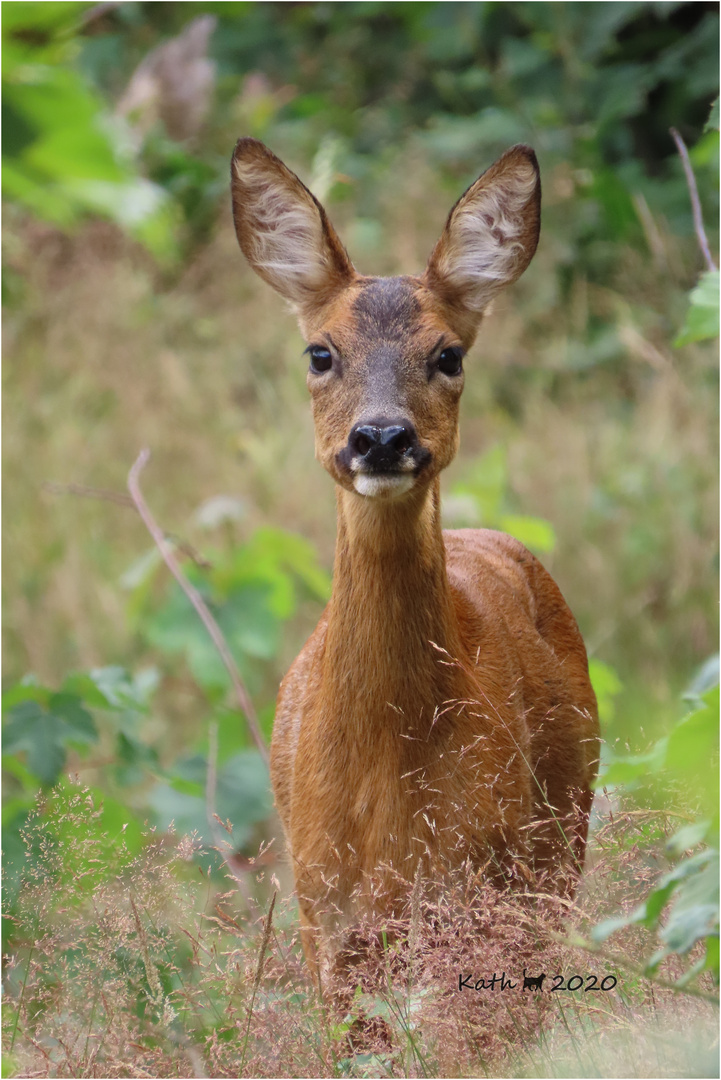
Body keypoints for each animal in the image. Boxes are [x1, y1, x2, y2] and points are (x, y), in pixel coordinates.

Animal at [232, 137, 604, 989]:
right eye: (319, 352)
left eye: (448, 354)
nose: (380, 438)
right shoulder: (322, 911)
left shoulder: (473, 889)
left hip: (557, 839)